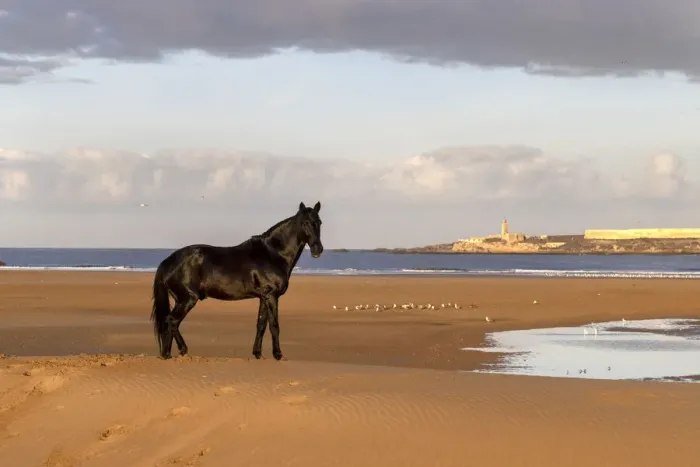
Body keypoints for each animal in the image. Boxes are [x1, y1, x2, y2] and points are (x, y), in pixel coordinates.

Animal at [150, 201, 324, 360]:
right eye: (305, 223)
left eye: (319, 222)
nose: (318, 249)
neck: (272, 254)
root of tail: (168, 261)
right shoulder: (272, 296)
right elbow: (274, 325)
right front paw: (278, 355)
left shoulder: (264, 297)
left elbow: (261, 324)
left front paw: (257, 353)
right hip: (187, 299)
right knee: (171, 321)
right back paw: (176, 351)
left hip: (180, 300)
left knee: (171, 323)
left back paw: (170, 353)